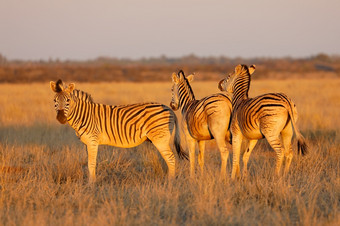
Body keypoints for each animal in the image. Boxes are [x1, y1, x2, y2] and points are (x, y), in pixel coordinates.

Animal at [50, 79, 189, 182]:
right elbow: (89, 163)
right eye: (54, 101)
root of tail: (170, 109)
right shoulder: (87, 143)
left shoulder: (92, 141)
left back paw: (170, 182)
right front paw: (91, 182)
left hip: (160, 139)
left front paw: (91, 184)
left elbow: (91, 164)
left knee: (171, 158)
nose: (61, 118)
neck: (83, 115)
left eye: (68, 101)